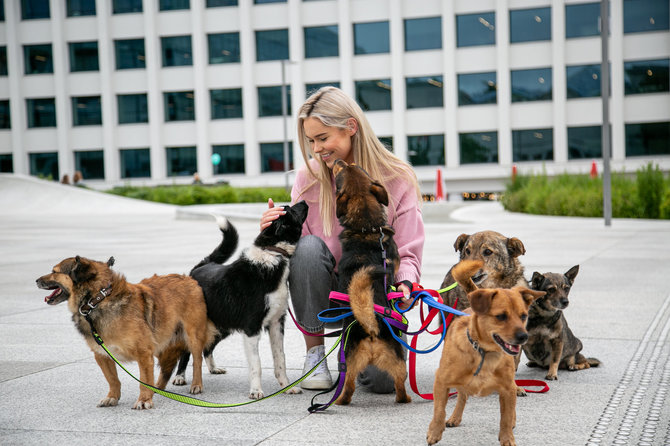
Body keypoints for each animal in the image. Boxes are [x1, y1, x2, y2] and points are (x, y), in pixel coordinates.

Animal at [34, 256, 213, 410]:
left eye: (54, 271)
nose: (36, 280)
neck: (97, 300)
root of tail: (188, 278)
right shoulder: (102, 354)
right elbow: (112, 379)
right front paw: (112, 397)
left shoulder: (144, 353)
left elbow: (143, 380)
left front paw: (144, 400)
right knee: (166, 368)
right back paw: (157, 389)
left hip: (192, 336)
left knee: (197, 361)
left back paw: (196, 384)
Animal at [173, 200, 310, 398]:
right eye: (289, 209)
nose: (305, 201)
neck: (272, 254)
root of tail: (198, 268)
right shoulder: (252, 328)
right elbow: (256, 364)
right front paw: (256, 391)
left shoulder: (276, 323)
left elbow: (280, 359)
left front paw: (287, 386)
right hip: (197, 325)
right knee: (187, 351)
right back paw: (180, 376)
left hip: (221, 325)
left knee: (207, 348)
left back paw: (213, 368)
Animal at [330, 159, 410, 406]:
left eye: (350, 165)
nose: (338, 161)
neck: (366, 227)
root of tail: (371, 328)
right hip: (395, 362)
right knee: (398, 384)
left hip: (350, 364)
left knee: (349, 387)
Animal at [428, 260, 548, 444]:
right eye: (501, 316)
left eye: (523, 316)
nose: (524, 337)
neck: (484, 352)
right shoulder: (441, 381)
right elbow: (439, 410)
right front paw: (434, 431)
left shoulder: (507, 389)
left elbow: (505, 417)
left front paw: (507, 438)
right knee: (462, 396)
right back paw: (455, 417)